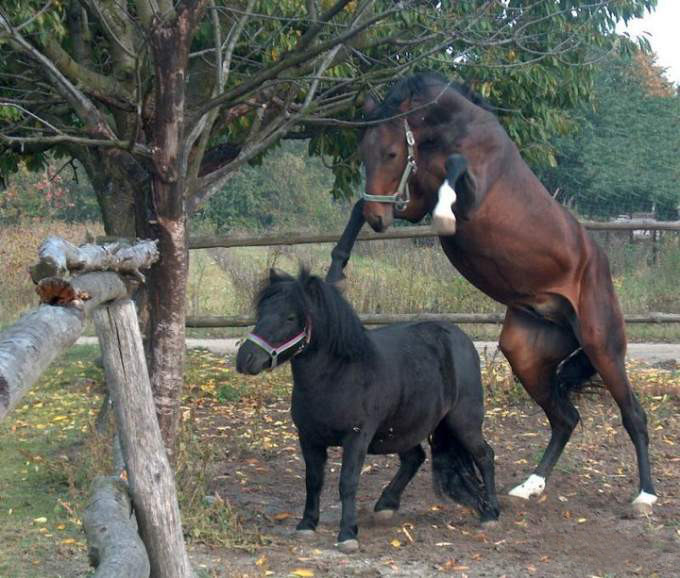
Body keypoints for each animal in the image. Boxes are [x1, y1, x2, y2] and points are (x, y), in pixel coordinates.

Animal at [236, 268, 496, 552]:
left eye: (291, 316)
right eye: (261, 312)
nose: (245, 359)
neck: (339, 374)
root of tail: (461, 339)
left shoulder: (357, 437)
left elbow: (347, 482)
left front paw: (347, 533)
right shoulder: (308, 438)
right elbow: (313, 481)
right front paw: (307, 524)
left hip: (463, 421)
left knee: (485, 455)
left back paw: (490, 512)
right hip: (402, 427)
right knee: (414, 458)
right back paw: (386, 505)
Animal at [326, 73, 656, 512]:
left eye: (393, 152)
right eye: (364, 153)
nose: (379, 221)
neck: (453, 132)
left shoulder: (469, 198)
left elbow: (455, 171)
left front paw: (445, 217)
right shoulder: (413, 205)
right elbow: (356, 212)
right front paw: (335, 269)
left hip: (602, 345)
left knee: (633, 414)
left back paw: (646, 495)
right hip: (526, 354)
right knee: (564, 418)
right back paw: (530, 485)